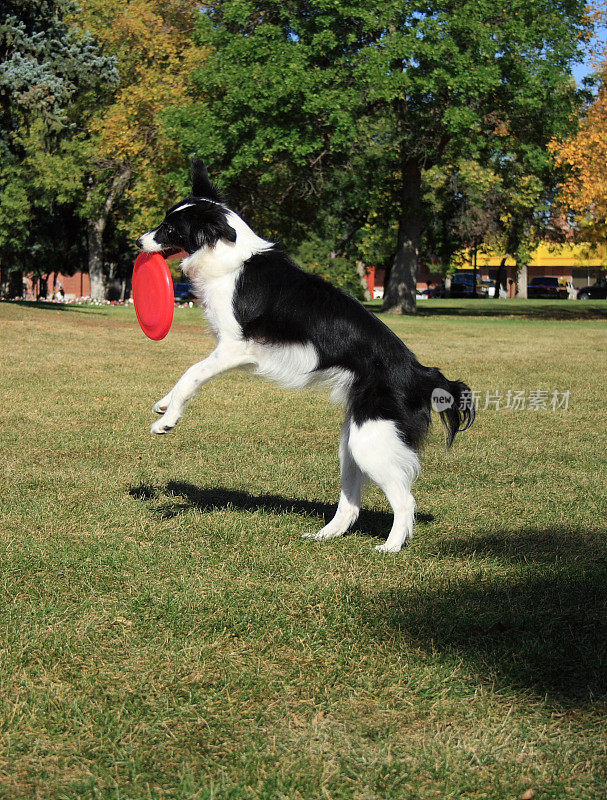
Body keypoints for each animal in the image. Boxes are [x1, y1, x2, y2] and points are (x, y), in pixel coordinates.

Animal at [138, 161, 476, 552]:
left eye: (169, 228)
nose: (138, 242)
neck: (228, 254)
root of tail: (421, 373)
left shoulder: (234, 347)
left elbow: (191, 373)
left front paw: (167, 420)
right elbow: (187, 374)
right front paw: (164, 404)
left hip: (371, 439)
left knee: (405, 499)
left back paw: (390, 548)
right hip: (352, 441)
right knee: (351, 503)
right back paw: (325, 535)